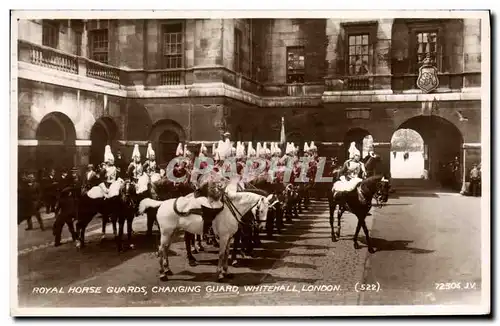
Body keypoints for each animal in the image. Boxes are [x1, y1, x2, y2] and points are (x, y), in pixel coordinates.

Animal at [139, 190, 272, 282]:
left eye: (268, 210)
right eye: (260, 210)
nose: (261, 227)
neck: (230, 211)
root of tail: (162, 203)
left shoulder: (229, 238)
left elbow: (226, 254)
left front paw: (227, 272)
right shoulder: (223, 237)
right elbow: (221, 255)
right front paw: (220, 275)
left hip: (172, 233)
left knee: (165, 250)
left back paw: (167, 270)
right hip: (166, 233)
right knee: (161, 250)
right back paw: (162, 274)